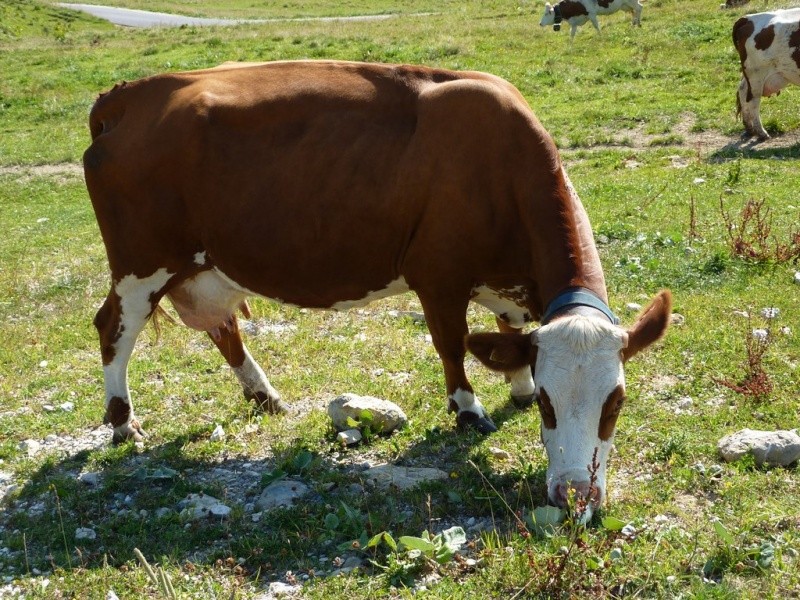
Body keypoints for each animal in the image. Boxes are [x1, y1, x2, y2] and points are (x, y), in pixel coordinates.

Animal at [83, 58, 668, 512]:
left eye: (615, 403)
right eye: (551, 405)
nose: (576, 497)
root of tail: (129, 95)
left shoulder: (507, 288)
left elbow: (510, 333)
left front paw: (515, 384)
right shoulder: (438, 276)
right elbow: (452, 345)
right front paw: (470, 409)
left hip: (203, 266)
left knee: (222, 328)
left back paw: (265, 396)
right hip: (142, 265)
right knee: (113, 328)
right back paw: (123, 424)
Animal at [732, 8, 800, 140]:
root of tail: (748, 18)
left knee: (742, 90)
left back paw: (750, 128)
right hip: (756, 75)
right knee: (752, 100)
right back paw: (761, 132)